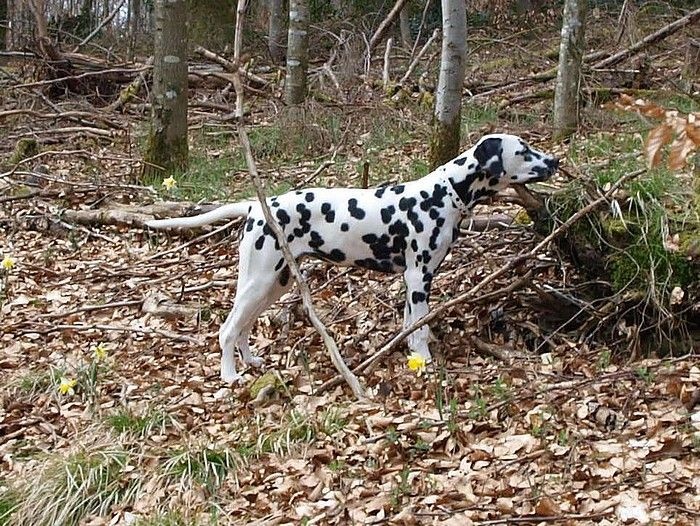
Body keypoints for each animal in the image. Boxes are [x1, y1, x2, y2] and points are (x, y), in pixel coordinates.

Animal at [146, 134, 558, 383]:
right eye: (523, 150)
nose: (554, 159)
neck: (445, 194)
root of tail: (256, 206)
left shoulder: (415, 280)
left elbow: (410, 324)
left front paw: (410, 353)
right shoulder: (418, 278)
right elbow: (421, 328)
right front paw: (424, 360)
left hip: (273, 285)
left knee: (244, 327)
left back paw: (250, 361)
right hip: (259, 282)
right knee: (228, 328)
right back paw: (230, 375)